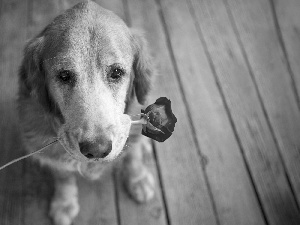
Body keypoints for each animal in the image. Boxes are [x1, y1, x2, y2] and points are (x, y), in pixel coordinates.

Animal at [17, 1, 155, 223]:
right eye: (64, 75)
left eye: (116, 72)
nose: (97, 150)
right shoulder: (49, 151)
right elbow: (63, 176)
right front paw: (64, 202)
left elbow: (132, 157)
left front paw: (138, 179)